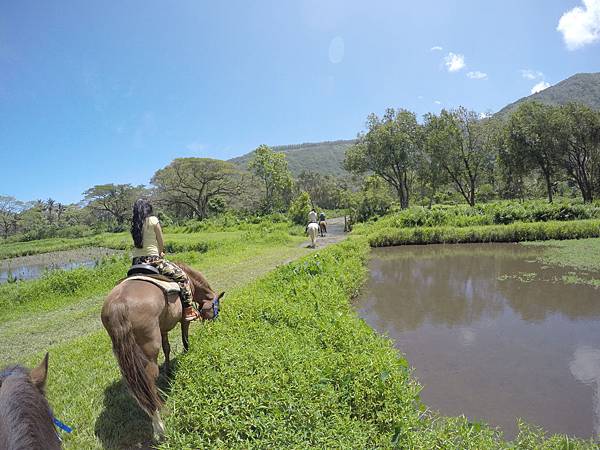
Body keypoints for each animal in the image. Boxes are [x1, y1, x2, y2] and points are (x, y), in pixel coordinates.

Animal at [101, 262, 223, 438]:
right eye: (216, 307)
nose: (215, 321)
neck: (191, 281)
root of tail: (119, 304)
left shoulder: (164, 327)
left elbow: (167, 348)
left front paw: (169, 370)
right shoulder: (183, 321)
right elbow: (185, 338)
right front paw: (187, 353)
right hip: (149, 350)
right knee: (149, 380)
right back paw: (159, 426)